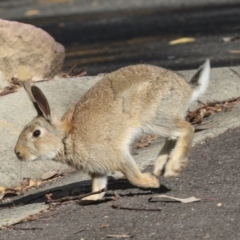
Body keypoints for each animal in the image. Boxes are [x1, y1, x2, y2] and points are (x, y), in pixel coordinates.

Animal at [15, 60, 210, 201]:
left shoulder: (116, 154)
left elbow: (132, 175)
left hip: (154, 117)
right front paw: (89, 200)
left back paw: (171, 168)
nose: (17, 153)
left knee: (187, 129)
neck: (65, 138)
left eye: (36, 133)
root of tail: (186, 89)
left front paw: (151, 183)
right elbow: (98, 187)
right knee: (173, 136)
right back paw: (159, 167)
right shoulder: (98, 169)